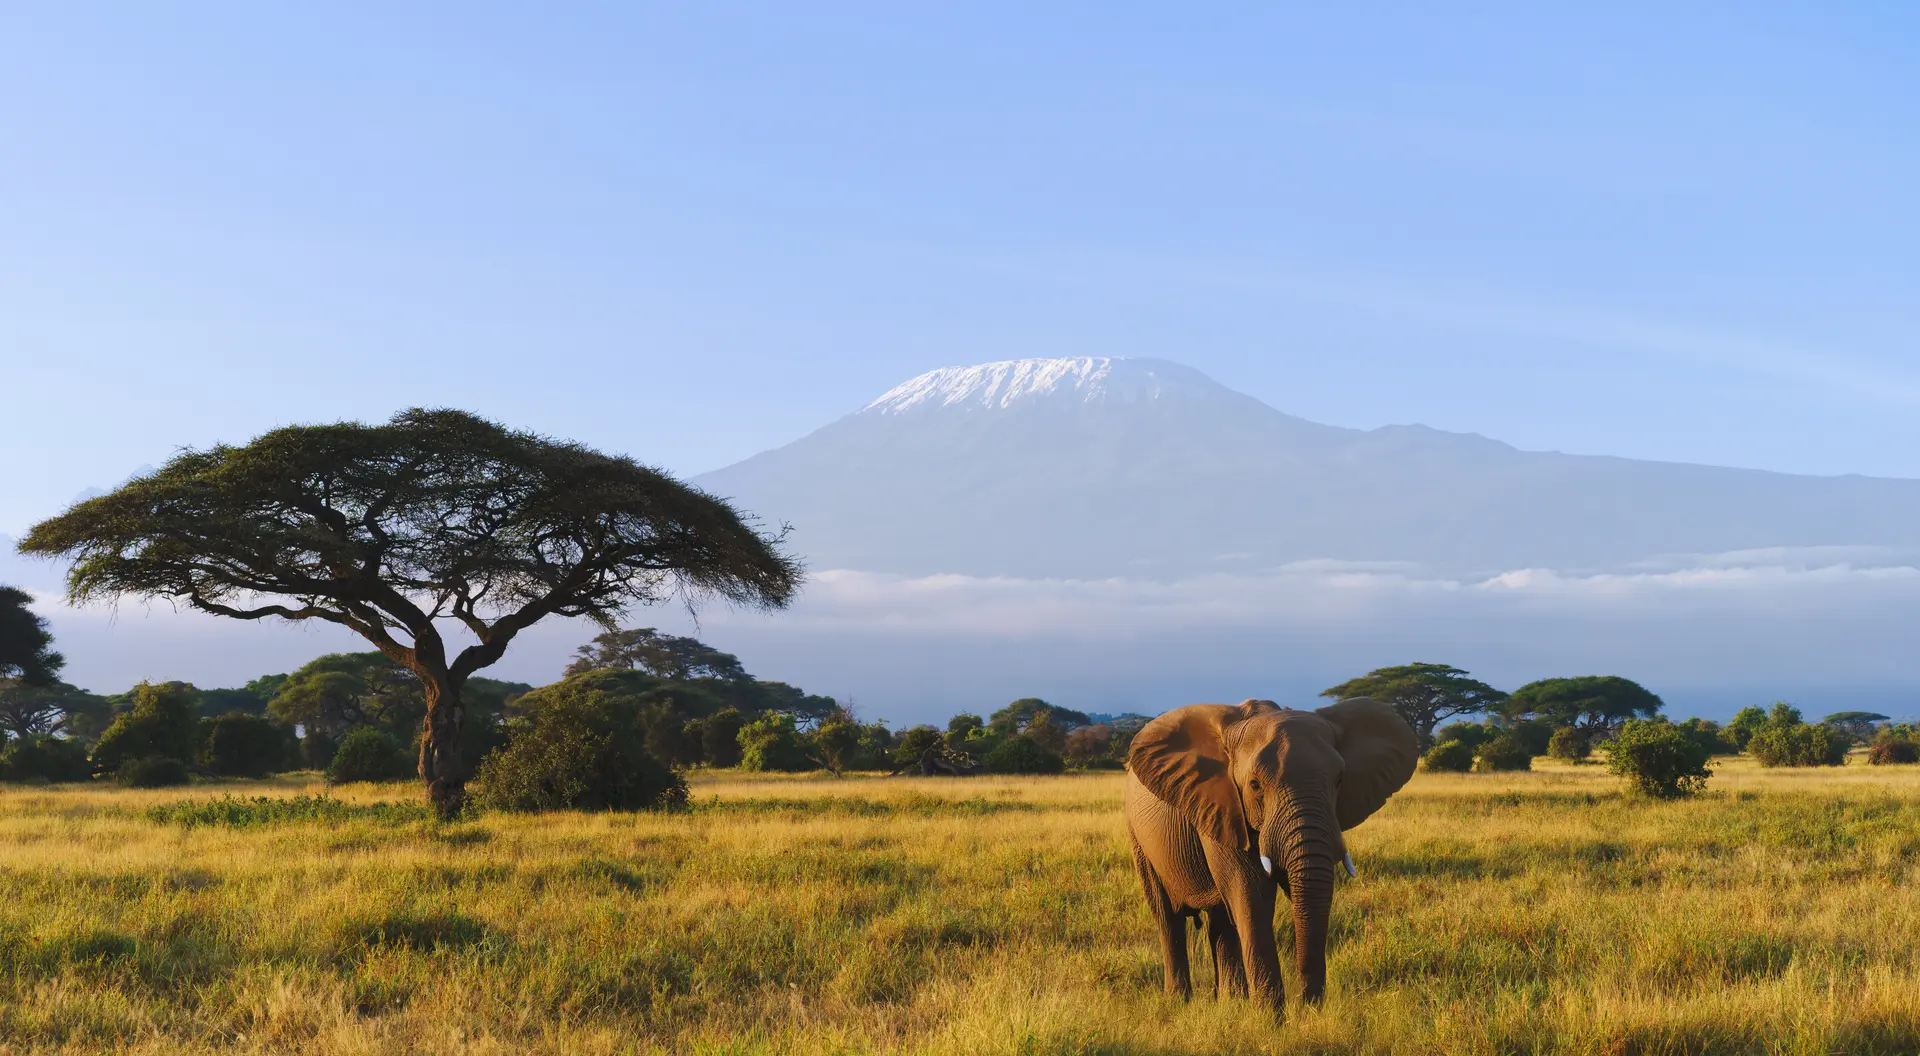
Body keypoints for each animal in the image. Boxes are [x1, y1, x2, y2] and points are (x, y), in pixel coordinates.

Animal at [1124, 696, 1417, 1012]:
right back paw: (1179, 1002)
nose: (1307, 1004)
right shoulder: (1222, 805)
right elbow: (1251, 895)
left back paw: (1231, 1001)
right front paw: (1269, 1017)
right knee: (1168, 916)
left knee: (1221, 921)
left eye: (1340, 781)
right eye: (1254, 785)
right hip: (1138, 837)